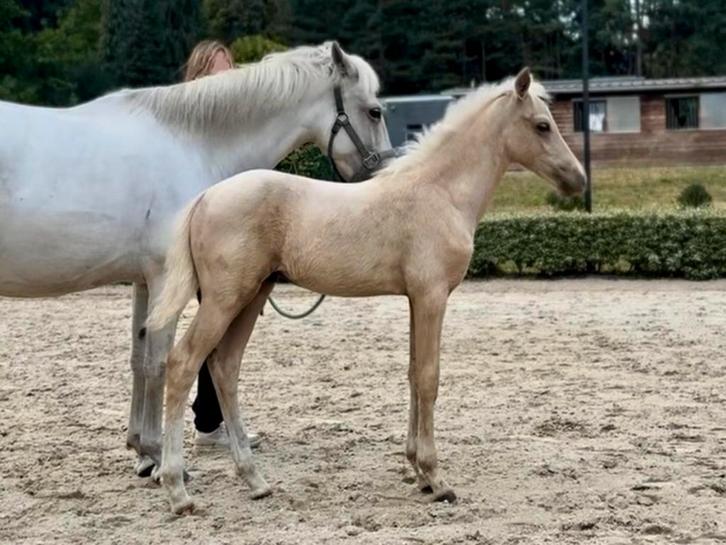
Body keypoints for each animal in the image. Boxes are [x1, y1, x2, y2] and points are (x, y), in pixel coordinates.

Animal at [0, 41, 392, 476]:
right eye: (374, 111)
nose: (385, 174)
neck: (190, 143)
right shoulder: (164, 278)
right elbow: (158, 362)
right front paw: (157, 456)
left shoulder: (144, 281)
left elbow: (138, 359)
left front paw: (139, 448)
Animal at [147, 67, 586, 514]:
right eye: (542, 125)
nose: (578, 179)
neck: (440, 192)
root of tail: (205, 197)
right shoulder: (431, 296)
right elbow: (429, 377)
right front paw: (436, 477)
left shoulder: (415, 299)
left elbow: (413, 374)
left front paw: (417, 472)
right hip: (225, 299)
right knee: (183, 363)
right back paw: (178, 490)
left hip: (252, 296)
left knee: (225, 367)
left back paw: (254, 480)